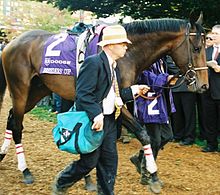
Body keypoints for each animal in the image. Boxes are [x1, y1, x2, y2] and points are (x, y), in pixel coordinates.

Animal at [0, 14, 208, 184]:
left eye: (206, 48)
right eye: (197, 48)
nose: (204, 85)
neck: (126, 54)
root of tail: (11, 43)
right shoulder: (114, 102)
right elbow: (142, 134)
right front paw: (151, 173)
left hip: (38, 90)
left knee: (11, 118)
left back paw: (2, 155)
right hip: (19, 90)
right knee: (17, 124)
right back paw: (25, 171)